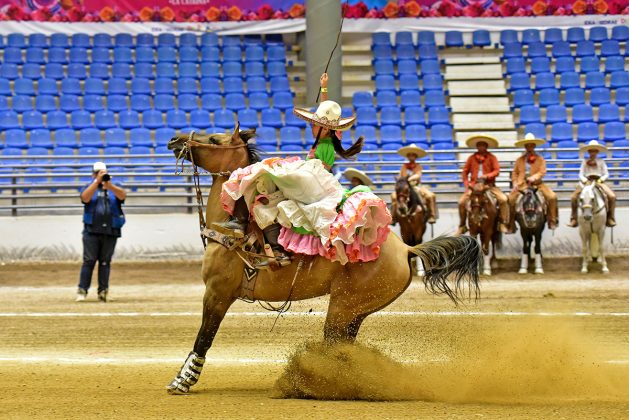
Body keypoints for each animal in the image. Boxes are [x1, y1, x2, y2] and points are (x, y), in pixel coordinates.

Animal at [163, 126, 480, 396]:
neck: (234, 231)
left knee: (333, 346)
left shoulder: (217, 294)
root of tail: (405, 249)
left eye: (214, 139)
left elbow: (204, 337)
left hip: (342, 307)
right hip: (355, 312)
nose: (176, 140)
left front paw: (182, 381)